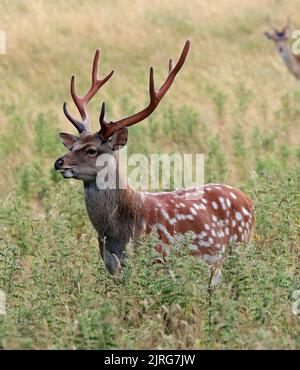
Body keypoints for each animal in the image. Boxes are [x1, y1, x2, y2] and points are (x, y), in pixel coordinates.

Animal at [54, 42, 255, 286]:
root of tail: (248, 200)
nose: (59, 162)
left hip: (238, 247)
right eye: (72, 146)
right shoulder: (113, 268)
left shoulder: (159, 261)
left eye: (91, 150)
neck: (119, 233)